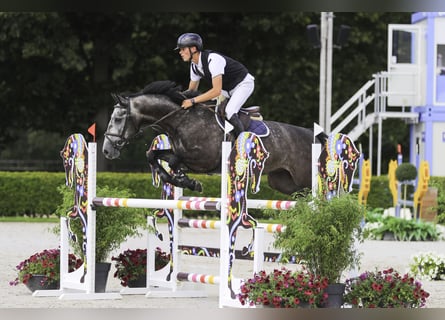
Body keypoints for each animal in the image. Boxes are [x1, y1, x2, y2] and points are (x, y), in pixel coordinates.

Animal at [103, 79, 320, 195]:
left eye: (118, 118)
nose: (106, 150)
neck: (181, 120)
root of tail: (312, 135)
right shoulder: (178, 152)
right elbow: (153, 155)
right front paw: (183, 180)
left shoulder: (203, 160)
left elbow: (173, 160)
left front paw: (187, 181)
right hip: (283, 181)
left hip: (303, 177)